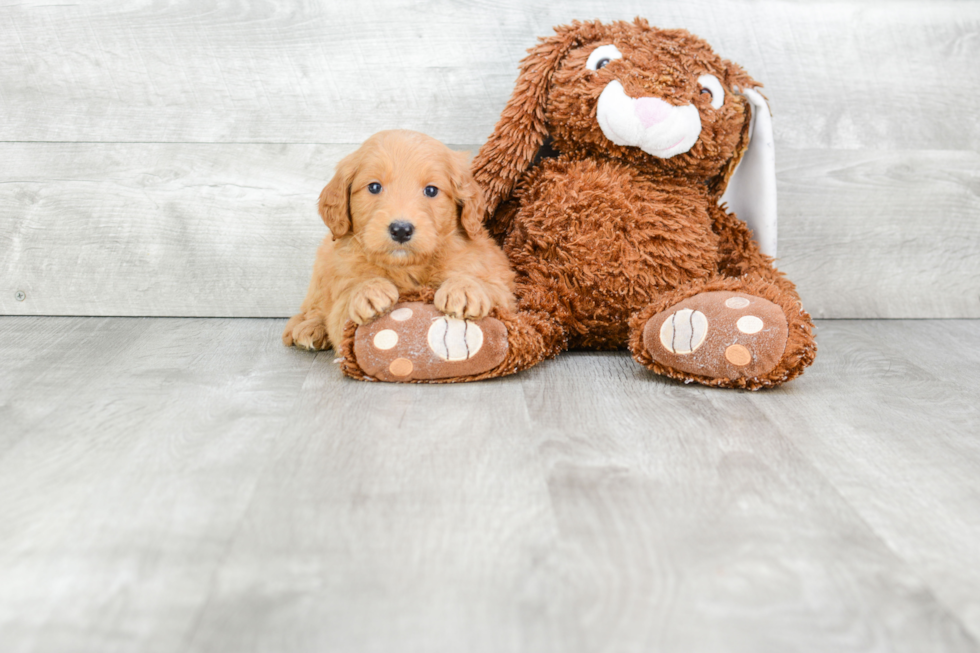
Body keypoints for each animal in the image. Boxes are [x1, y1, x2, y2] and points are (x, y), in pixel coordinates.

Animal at [282, 129, 516, 352]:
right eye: (374, 187)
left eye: (431, 190)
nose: (401, 230)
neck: (407, 266)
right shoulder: (340, 298)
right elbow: (344, 305)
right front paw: (369, 290)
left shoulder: (501, 285)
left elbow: (490, 286)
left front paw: (464, 289)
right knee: (312, 307)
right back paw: (309, 327)